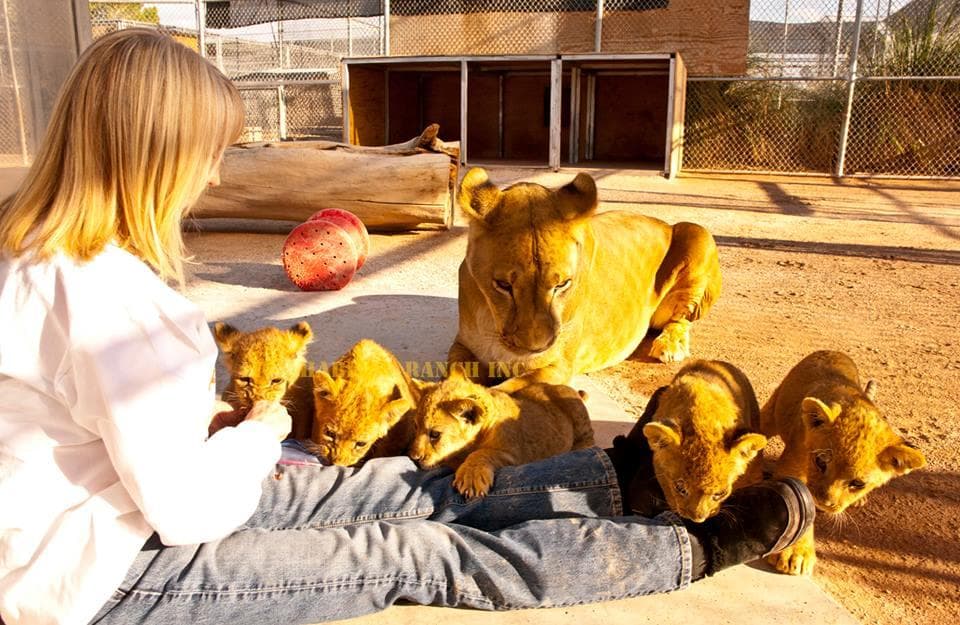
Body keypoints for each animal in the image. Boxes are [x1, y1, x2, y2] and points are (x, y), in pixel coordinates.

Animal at [409, 363, 595, 499]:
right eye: (415, 426)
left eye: (435, 435)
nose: (413, 458)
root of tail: (574, 392)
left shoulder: (513, 456)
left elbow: (482, 453)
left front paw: (471, 478)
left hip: (578, 417)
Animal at [449, 167, 721, 392]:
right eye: (503, 285)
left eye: (562, 284)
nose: (537, 348)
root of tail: (662, 223)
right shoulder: (462, 346)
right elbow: (456, 373)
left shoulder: (557, 366)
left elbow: (505, 392)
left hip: (697, 233)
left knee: (682, 318)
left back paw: (669, 345)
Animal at [760, 350, 926, 575]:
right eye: (821, 462)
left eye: (858, 483)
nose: (825, 502)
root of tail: (832, 351)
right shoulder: (793, 460)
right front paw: (794, 554)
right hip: (773, 410)